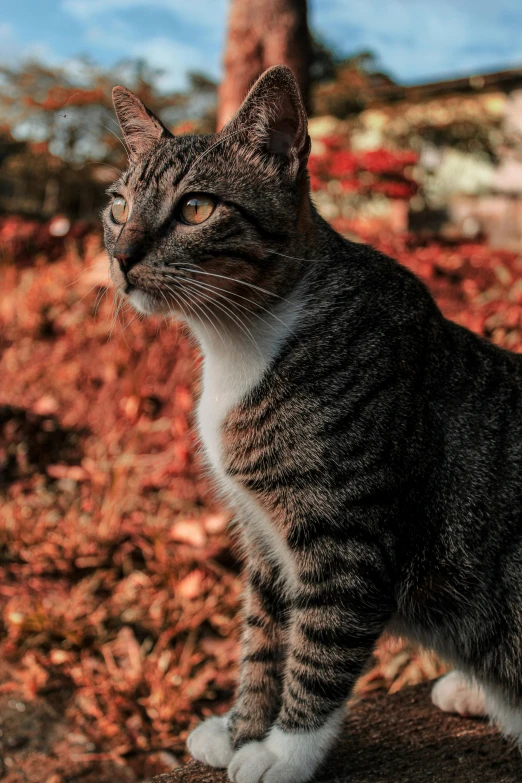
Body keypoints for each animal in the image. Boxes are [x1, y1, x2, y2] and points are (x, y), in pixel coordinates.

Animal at [102, 67, 522, 783]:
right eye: (119, 206)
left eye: (196, 209)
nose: (123, 257)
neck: (238, 344)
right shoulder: (263, 536)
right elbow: (264, 640)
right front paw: (241, 730)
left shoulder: (345, 534)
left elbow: (320, 645)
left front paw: (283, 751)